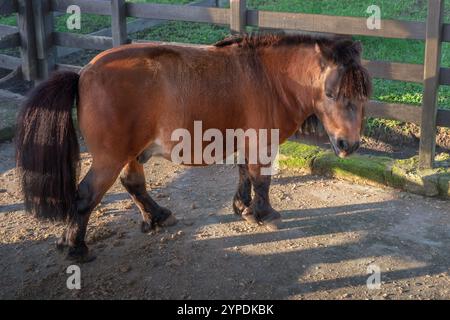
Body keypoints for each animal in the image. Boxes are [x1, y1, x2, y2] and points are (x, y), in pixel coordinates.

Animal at [15, 33, 370, 262]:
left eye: (362, 95)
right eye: (331, 94)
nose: (348, 145)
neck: (269, 78)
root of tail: (83, 74)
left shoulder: (245, 140)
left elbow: (243, 173)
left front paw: (242, 208)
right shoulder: (261, 141)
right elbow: (261, 179)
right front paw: (263, 214)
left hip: (130, 152)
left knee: (133, 183)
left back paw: (157, 216)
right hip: (110, 157)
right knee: (86, 195)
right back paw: (75, 247)